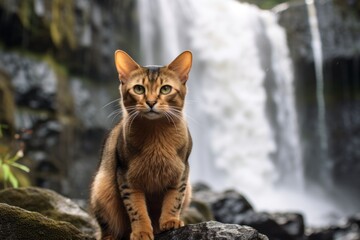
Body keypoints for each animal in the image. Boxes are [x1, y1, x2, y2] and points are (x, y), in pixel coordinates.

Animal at [90, 49, 194, 239]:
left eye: (166, 89)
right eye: (139, 88)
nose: (151, 102)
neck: (156, 137)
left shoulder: (181, 173)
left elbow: (174, 199)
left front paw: (170, 221)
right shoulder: (126, 177)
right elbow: (136, 208)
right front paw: (142, 231)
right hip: (101, 190)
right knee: (107, 230)